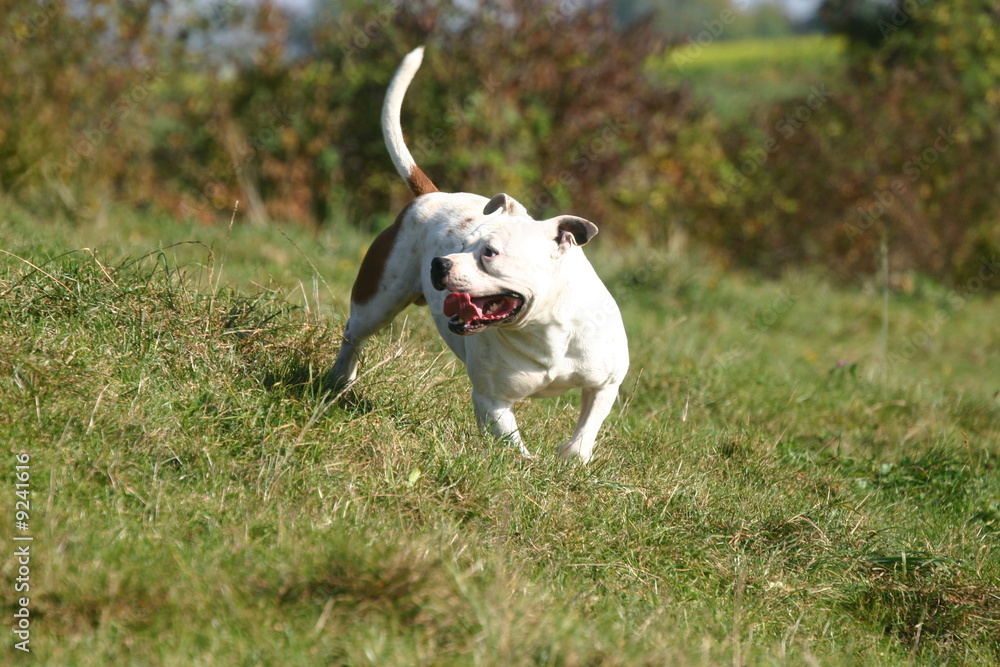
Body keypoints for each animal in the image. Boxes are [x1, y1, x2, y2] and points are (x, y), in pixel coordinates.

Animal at [330, 48, 624, 464]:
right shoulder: (492, 399)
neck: (543, 329)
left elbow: (587, 427)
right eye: (461, 245)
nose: (439, 263)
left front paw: (573, 458)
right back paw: (340, 378)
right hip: (377, 302)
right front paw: (528, 466)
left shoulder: (606, 382)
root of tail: (432, 195)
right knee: (354, 334)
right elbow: (511, 441)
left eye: (490, 253)